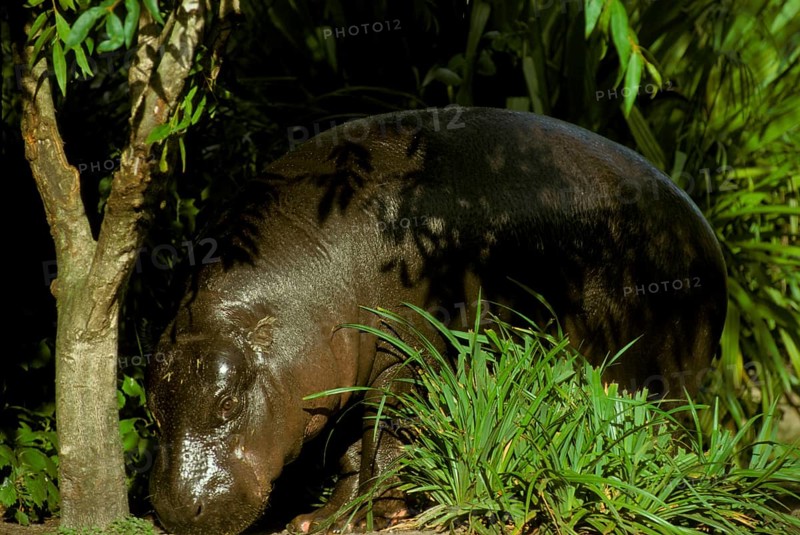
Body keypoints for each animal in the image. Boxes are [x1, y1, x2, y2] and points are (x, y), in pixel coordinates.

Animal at [147, 106, 727, 534]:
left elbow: (382, 435)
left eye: (227, 403)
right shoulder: (355, 368)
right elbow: (355, 448)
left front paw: (360, 517)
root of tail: (705, 230)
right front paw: (322, 518)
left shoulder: (404, 355)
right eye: (154, 409)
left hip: (667, 378)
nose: (175, 510)